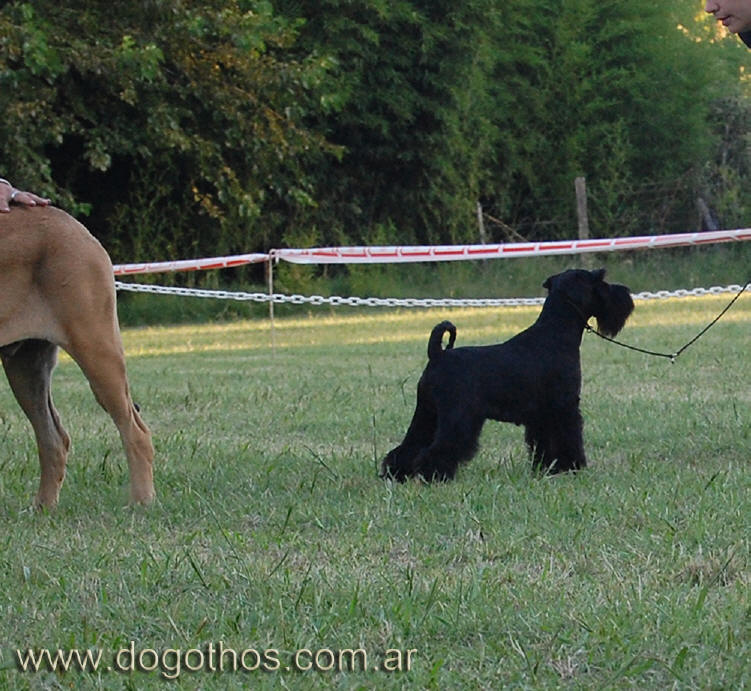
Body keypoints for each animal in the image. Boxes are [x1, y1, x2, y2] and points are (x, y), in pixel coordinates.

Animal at [0, 205, 154, 508]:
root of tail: (74, 224)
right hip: (26, 365)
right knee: (53, 440)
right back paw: (43, 508)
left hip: (96, 346)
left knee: (136, 431)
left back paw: (141, 502)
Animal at [382, 268, 636, 484]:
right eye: (600, 280)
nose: (626, 293)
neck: (556, 333)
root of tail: (437, 355)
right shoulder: (565, 407)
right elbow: (568, 439)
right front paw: (572, 467)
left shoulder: (542, 416)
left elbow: (544, 445)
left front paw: (546, 470)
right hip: (456, 416)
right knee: (438, 448)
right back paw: (434, 476)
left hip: (427, 413)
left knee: (409, 447)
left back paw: (395, 474)